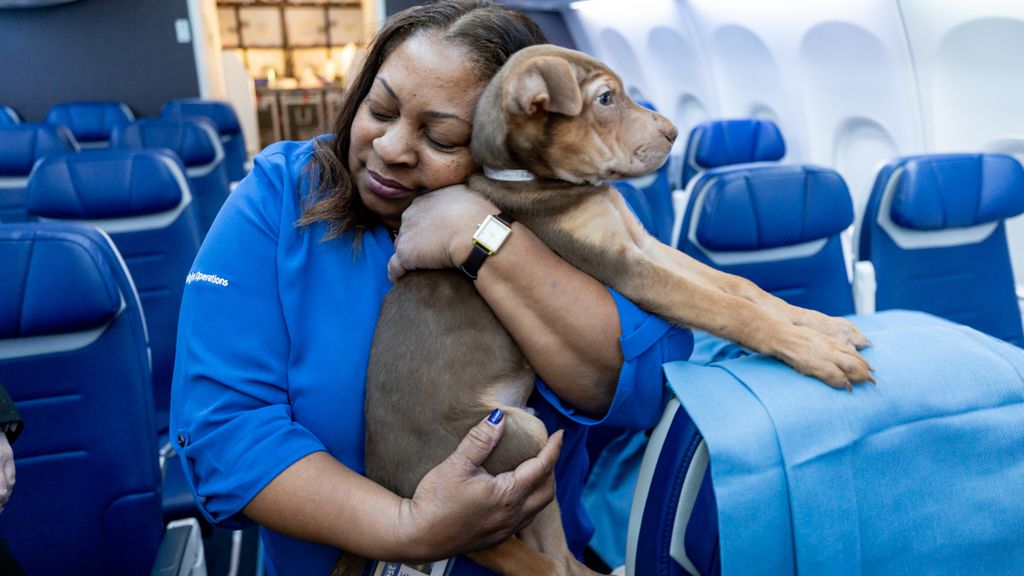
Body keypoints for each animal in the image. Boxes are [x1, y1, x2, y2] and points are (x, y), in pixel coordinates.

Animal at [339, 44, 868, 573]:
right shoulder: (626, 269)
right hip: (518, 439)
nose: (674, 132)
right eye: (606, 99)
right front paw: (815, 352)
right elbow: (726, 308)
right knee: (525, 553)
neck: (549, 183)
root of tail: (398, 492)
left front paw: (824, 327)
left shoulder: (644, 245)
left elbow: (740, 287)